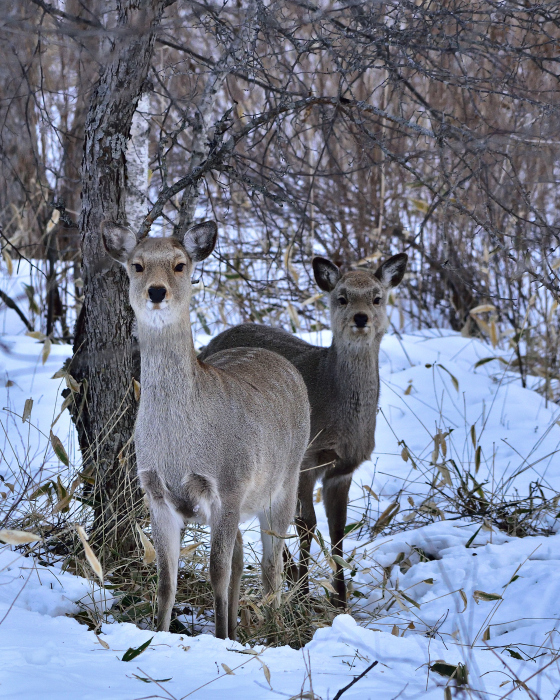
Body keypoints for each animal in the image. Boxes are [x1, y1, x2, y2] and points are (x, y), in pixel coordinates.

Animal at [101, 221, 310, 636]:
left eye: (180, 264)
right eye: (137, 265)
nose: (157, 291)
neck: (181, 443)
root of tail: (283, 363)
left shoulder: (228, 486)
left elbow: (217, 572)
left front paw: (221, 638)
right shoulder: (156, 494)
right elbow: (167, 581)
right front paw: (160, 633)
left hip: (285, 481)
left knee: (271, 567)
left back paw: (271, 627)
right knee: (244, 557)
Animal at [200, 253, 406, 608]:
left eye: (377, 297)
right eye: (342, 297)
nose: (361, 318)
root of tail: (207, 345)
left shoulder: (343, 468)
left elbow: (338, 528)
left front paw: (340, 600)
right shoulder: (307, 457)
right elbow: (305, 523)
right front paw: (304, 594)